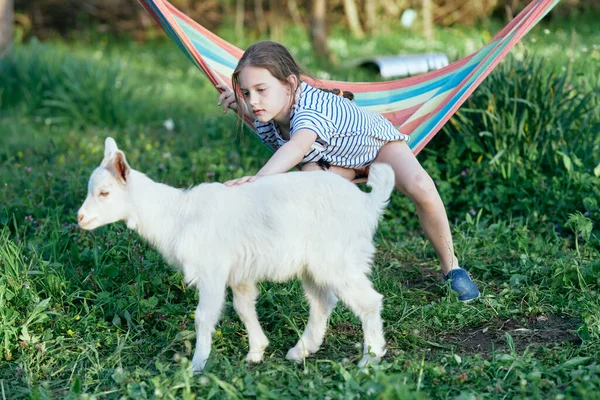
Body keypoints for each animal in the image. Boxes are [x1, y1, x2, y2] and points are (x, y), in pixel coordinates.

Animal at [77, 138, 396, 372]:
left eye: (104, 193)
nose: (80, 218)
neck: (177, 214)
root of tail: (368, 203)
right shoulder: (239, 272)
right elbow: (243, 307)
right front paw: (257, 351)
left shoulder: (211, 270)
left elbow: (203, 316)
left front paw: (197, 366)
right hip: (315, 263)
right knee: (321, 302)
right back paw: (300, 351)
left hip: (337, 258)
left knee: (368, 302)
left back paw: (370, 358)